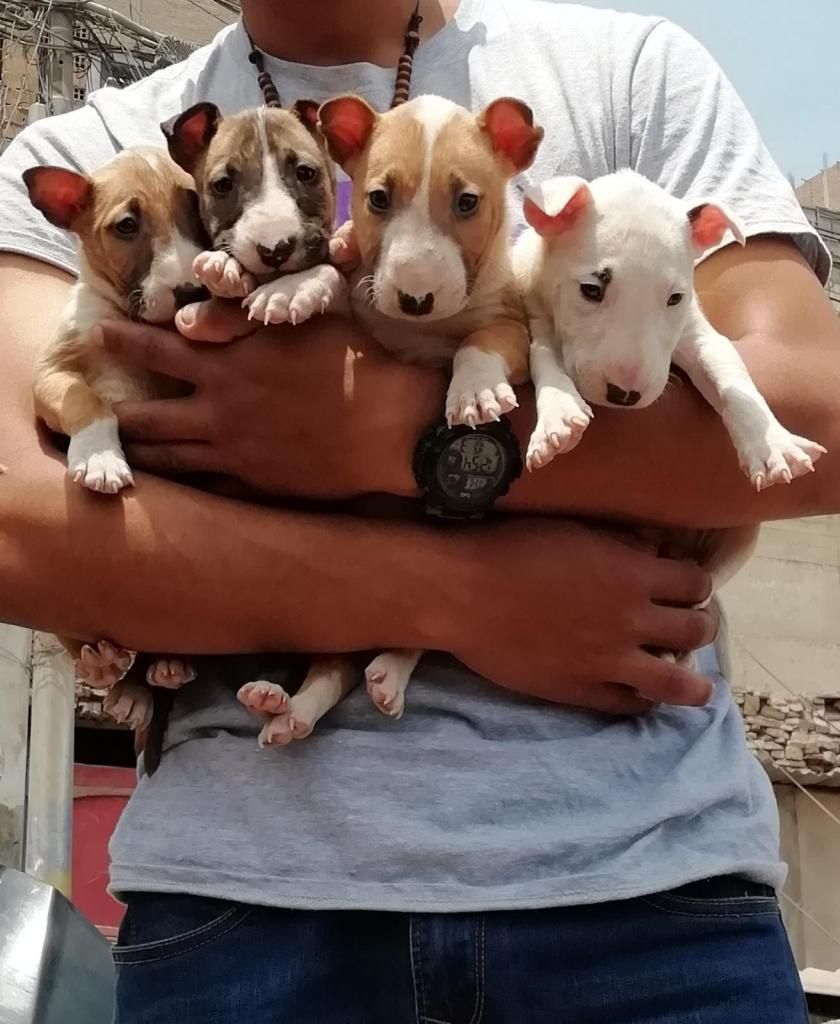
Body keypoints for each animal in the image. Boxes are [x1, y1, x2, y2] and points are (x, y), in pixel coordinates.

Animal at [24, 148, 207, 733]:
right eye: (127, 226)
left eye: (196, 209)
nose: (193, 291)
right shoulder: (51, 376)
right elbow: (90, 400)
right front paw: (102, 459)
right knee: (97, 651)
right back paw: (113, 672)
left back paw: (166, 666)